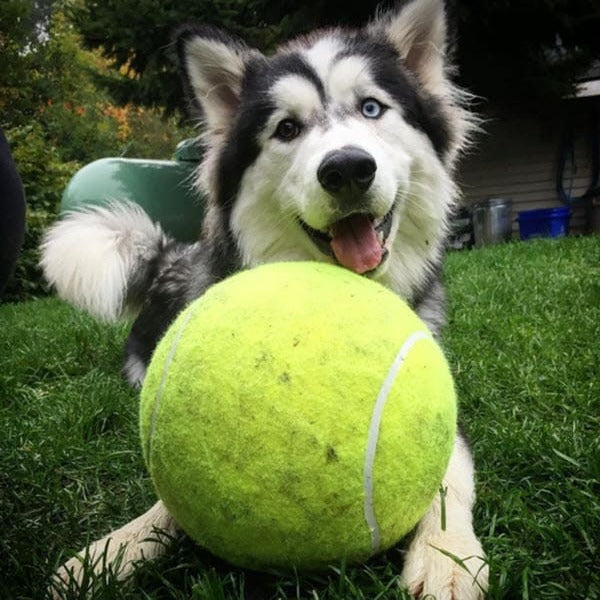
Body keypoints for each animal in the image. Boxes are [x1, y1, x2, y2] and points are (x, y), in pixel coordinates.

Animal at [44, 0, 490, 596]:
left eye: (372, 108)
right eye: (287, 128)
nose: (347, 168)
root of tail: (173, 258)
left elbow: (448, 474)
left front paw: (447, 558)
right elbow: (166, 502)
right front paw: (113, 549)